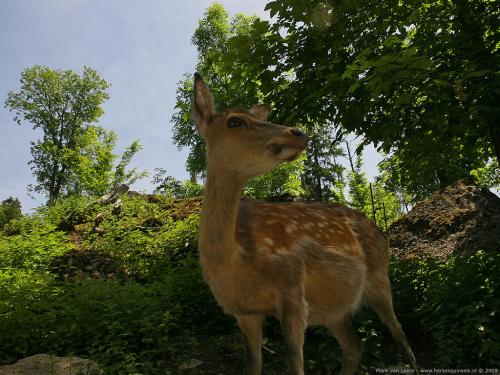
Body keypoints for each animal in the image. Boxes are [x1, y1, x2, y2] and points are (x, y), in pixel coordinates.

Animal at [192, 74, 418, 375]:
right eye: (235, 121)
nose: (298, 132)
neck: (239, 262)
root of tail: (380, 231)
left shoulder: (292, 288)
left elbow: (293, 362)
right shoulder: (243, 311)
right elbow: (253, 364)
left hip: (380, 276)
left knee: (401, 336)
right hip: (331, 308)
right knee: (354, 346)